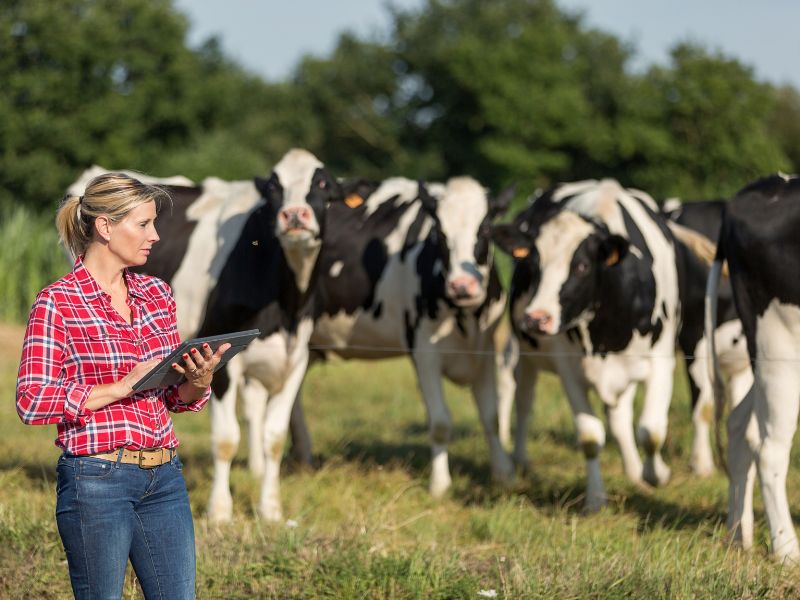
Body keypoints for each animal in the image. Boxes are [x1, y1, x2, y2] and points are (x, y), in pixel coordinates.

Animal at [276, 175, 520, 496]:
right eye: (440, 233)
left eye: (486, 229)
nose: (462, 286)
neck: (465, 319)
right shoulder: (425, 352)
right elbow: (440, 422)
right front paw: (440, 485)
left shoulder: (484, 347)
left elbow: (491, 416)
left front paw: (504, 473)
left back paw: (303, 455)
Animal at [490, 178, 684, 510]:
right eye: (533, 264)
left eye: (581, 266)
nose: (536, 318)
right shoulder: (569, 370)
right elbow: (590, 437)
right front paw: (594, 500)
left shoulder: (661, 361)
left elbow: (651, 431)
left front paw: (656, 475)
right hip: (525, 353)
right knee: (522, 397)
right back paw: (519, 458)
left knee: (621, 419)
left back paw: (635, 472)